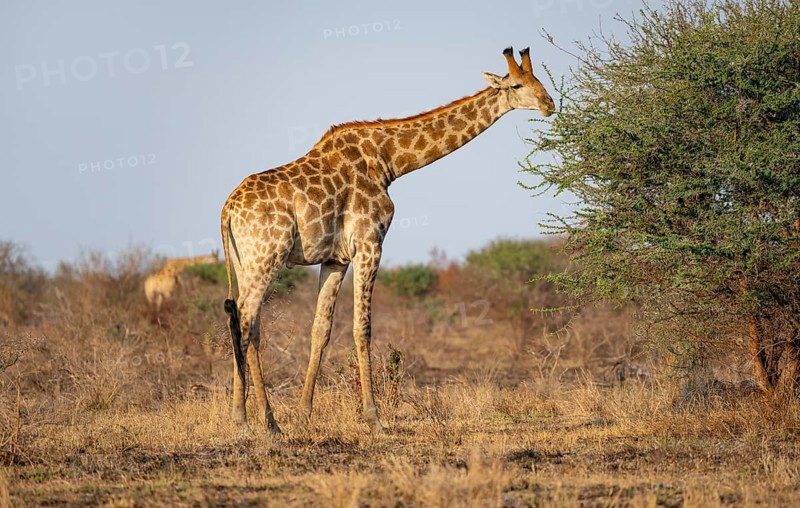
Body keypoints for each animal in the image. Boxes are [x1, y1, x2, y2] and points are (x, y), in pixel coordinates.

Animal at [221, 47, 555, 433]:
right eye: (517, 84)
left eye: (539, 79)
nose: (549, 104)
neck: (388, 162)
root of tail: (227, 210)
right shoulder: (370, 244)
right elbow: (362, 328)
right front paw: (374, 417)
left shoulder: (335, 258)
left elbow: (321, 329)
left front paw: (304, 413)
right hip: (267, 257)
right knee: (244, 319)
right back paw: (242, 419)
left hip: (246, 263)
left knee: (251, 323)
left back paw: (269, 421)